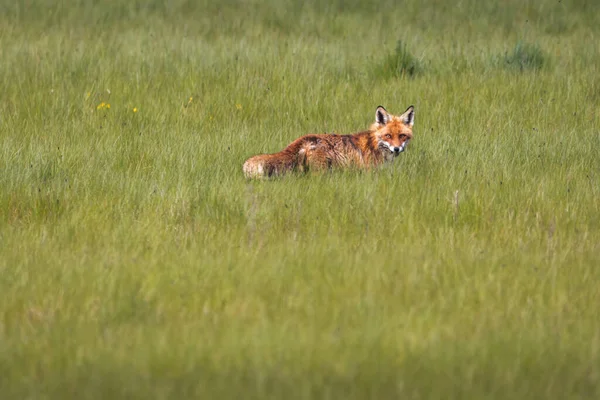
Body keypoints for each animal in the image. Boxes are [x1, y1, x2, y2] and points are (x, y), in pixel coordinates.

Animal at [241, 104, 414, 178]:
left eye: (402, 136)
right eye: (388, 136)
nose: (397, 149)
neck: (375, 144)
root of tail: (305, 138)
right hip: (321, 173)